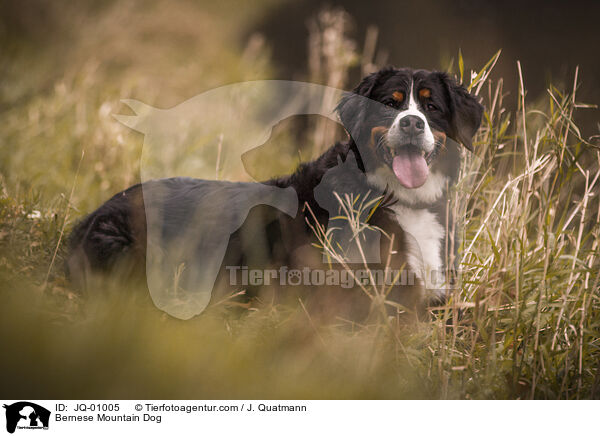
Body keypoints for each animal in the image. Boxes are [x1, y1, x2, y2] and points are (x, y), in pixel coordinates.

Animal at [68, 67, 486, 320]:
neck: (397, 197)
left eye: (431, 106)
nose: (413, 123)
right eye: (389, 103)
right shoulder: (370, 298)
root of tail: (90, 216)